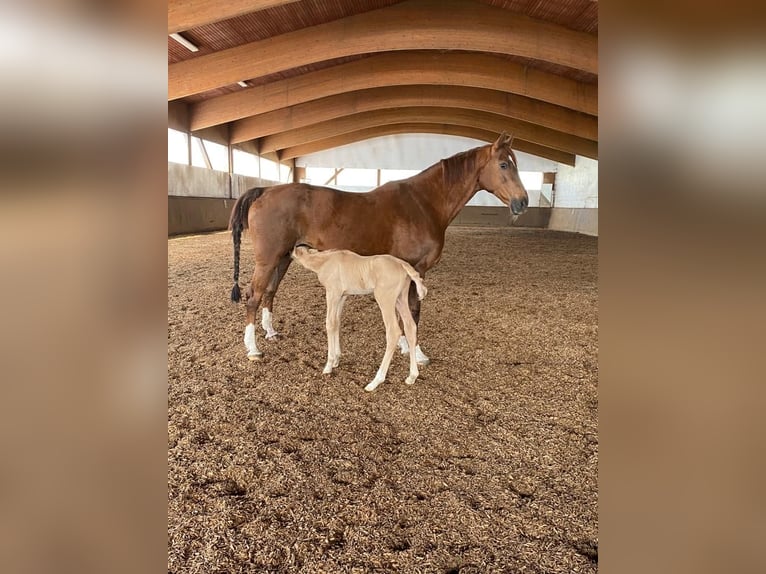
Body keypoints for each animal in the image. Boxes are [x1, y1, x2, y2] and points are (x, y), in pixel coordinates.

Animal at [292, 245, 428, 394]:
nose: (289, 256)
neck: (325, 261)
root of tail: (402, 265)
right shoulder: (342, 296)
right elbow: (337, 322)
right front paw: (336, 360)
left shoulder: (332, 293)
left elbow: (330, 323)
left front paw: (328, 365)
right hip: (400, 299)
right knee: (410, 327)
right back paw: (412, 376)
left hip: (385, 298)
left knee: (393, 332)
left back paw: (375, 382)